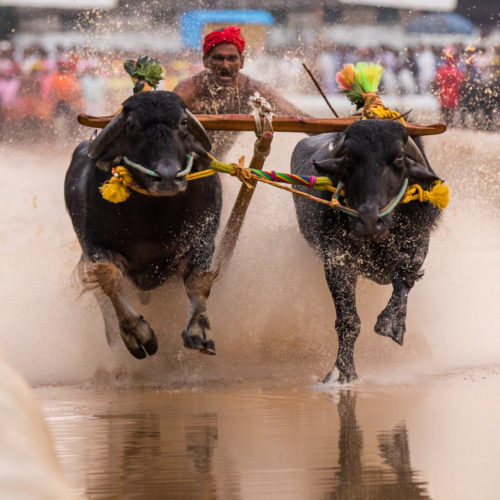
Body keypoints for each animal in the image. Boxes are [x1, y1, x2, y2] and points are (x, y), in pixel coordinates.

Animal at [65, 91, 222, 360]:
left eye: (182, 122)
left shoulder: (203, 239)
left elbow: (198, 283)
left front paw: (199, 332)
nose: (167, 177)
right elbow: (110, 279)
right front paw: (137, 335)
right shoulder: (95, 248)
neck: (155, 214)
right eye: (131, 125)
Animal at [292, 120, 444, 382]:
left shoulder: (419, 242)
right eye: (350, 156)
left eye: (399, 156)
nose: (370, 221)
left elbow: (405, 277)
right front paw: (343, 373)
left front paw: (391, 324)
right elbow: (348, 321)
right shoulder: (337, 260)